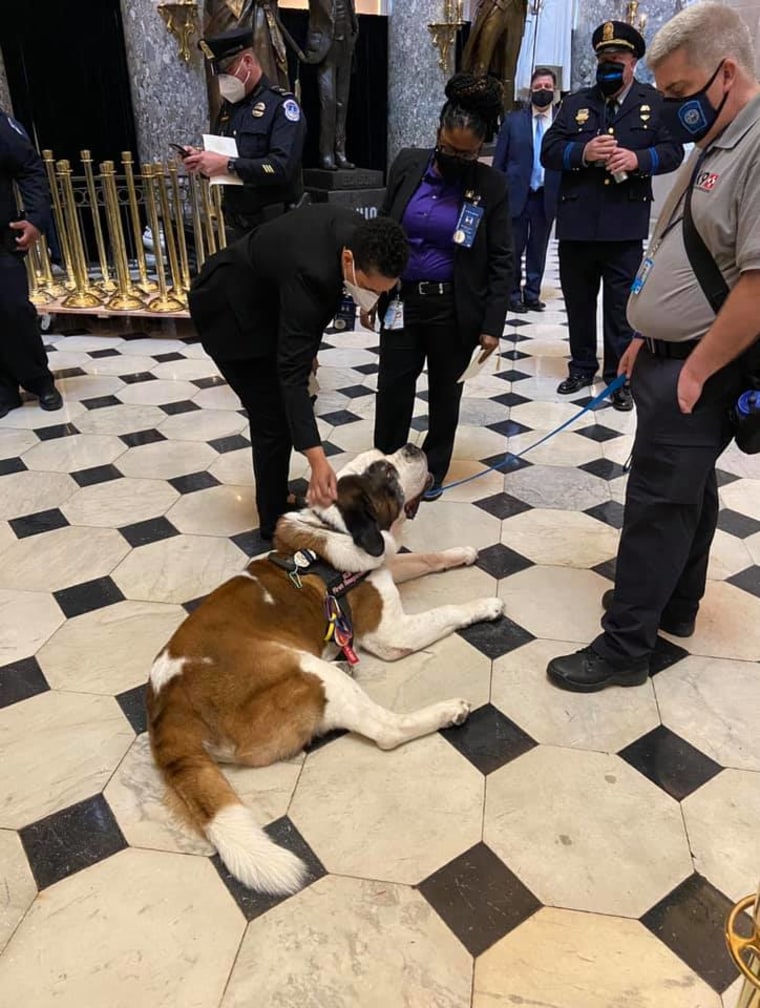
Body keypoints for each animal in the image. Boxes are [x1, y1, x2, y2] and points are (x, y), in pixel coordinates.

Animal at [146, 445, 503, 895]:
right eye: (387, 473)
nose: (411, 447)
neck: (335, 528)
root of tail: (166, 708)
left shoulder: (385, 567)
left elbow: (419, 558)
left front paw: (460, 553)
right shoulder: (391, 631)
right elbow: (449, 610)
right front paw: (485, 605)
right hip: (309, 669)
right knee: (387, 730)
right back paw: (446, 711)